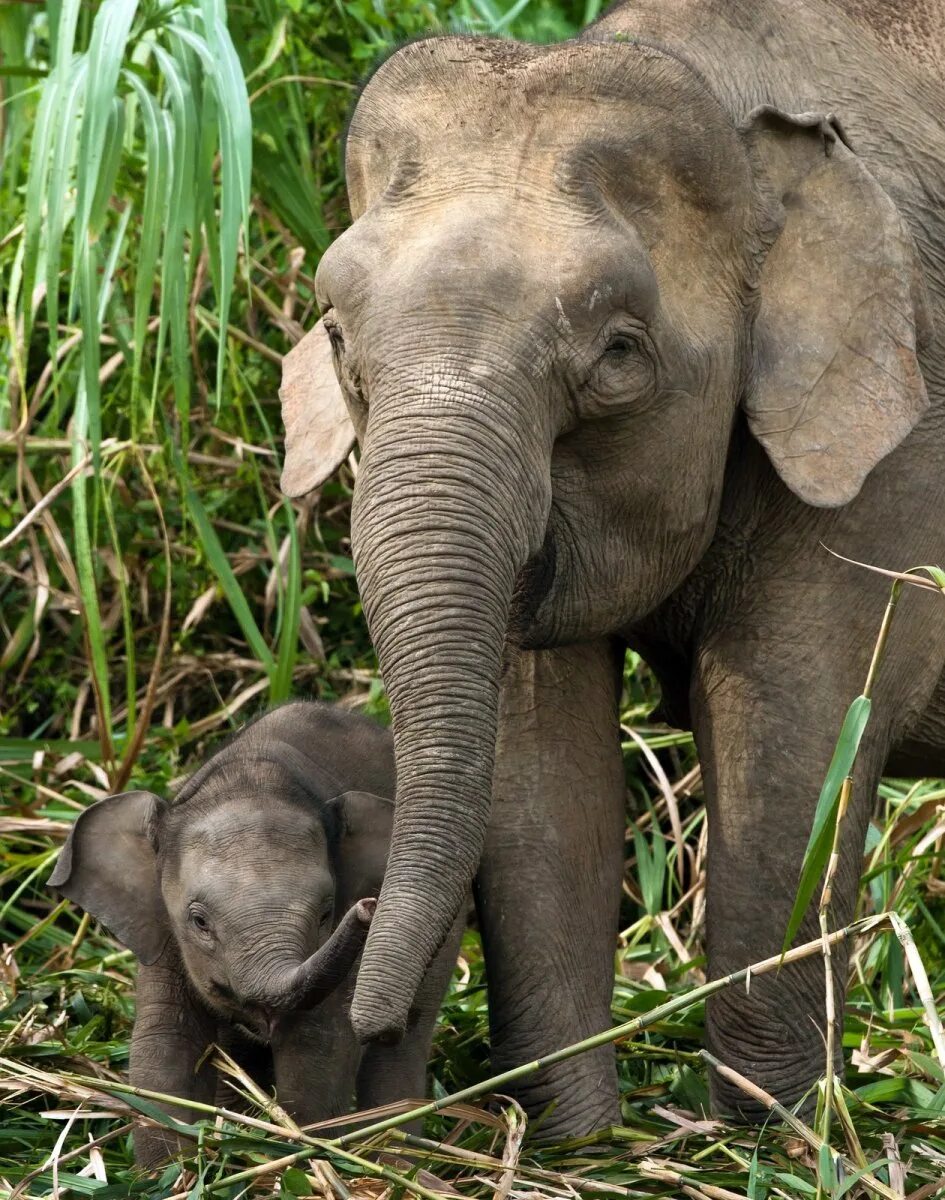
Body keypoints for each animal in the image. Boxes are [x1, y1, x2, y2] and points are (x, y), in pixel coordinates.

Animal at [49, 700, 462, 1161]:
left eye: (325, 914)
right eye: (199, 921)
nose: (368, 909)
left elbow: (317, 1045)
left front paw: (302, 1157)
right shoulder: (162, 931)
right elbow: (165, 1044)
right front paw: (170, 1170)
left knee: (404, 1041)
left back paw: (399, 1161)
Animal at [278, 0, 944, 1128]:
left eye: (619, 352)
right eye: (334, 333)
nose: (377, 1025)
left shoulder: (899, 444)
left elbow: (788, 726)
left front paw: (765, 1131)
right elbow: (542, 756)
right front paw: (576, 1139)